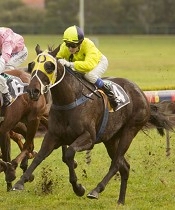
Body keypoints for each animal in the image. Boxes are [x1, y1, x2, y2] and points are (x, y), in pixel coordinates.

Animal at [12, 46, 174, 205]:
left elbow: (69, 154)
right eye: (32, 65)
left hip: (130, 131)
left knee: (116, 163)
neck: (69, 100)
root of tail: (141, 93)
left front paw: (79, 188)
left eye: (49, 66)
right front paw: (20, 182)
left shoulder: (88, 138)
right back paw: (120, 201)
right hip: (111, 139)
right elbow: (40, 156)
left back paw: (96, 190)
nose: (33, 91)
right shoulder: (53, 135)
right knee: (125, 166)